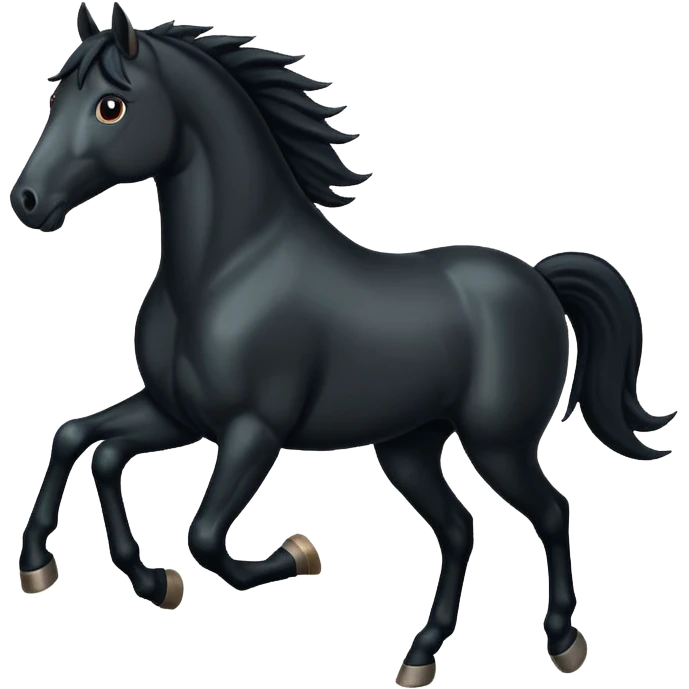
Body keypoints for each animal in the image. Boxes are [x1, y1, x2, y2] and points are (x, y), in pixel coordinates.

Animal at [10, 4, 676, 687]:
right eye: (55, 96)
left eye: (110, 107)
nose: (27, 201)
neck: (226, 270)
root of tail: (540, 278)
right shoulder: (178, 413)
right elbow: (84, 442)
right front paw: (78, 571)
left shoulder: (253, 430)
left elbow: (205, 536)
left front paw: (300, 552)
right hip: (410, 446)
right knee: (459, 528)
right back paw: (421, 655)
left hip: (499, 443)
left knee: (551, 512)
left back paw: (565, 641)